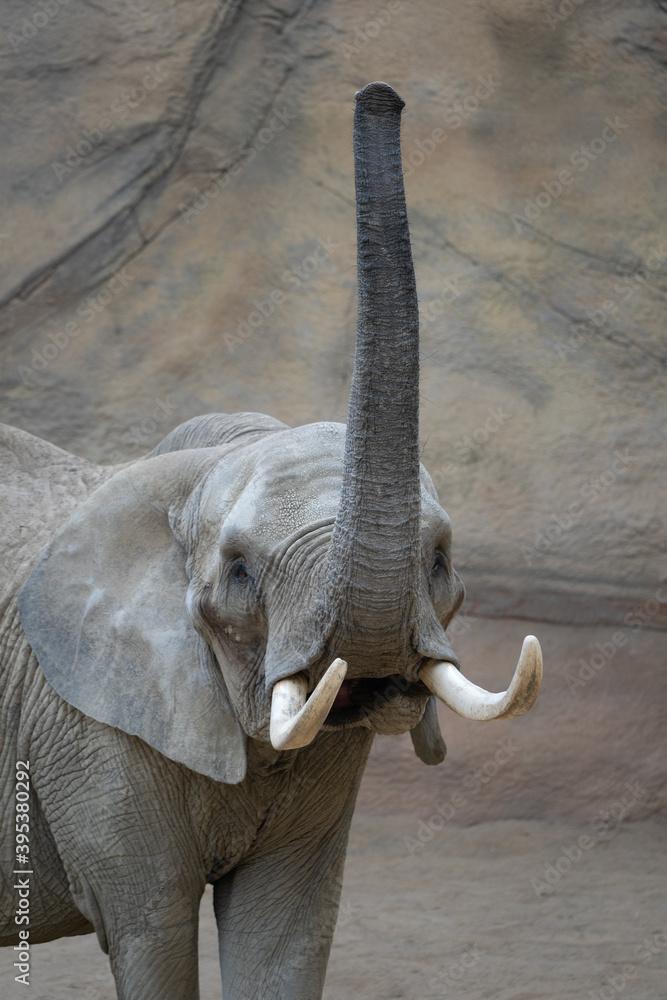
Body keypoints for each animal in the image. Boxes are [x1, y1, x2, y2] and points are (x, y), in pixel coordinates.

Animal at [0, 82, 542, 999]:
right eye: (241, 574)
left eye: (439, 563)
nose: (381, 97)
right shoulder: (82, 723)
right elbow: (151, 930)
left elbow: (284, 932)